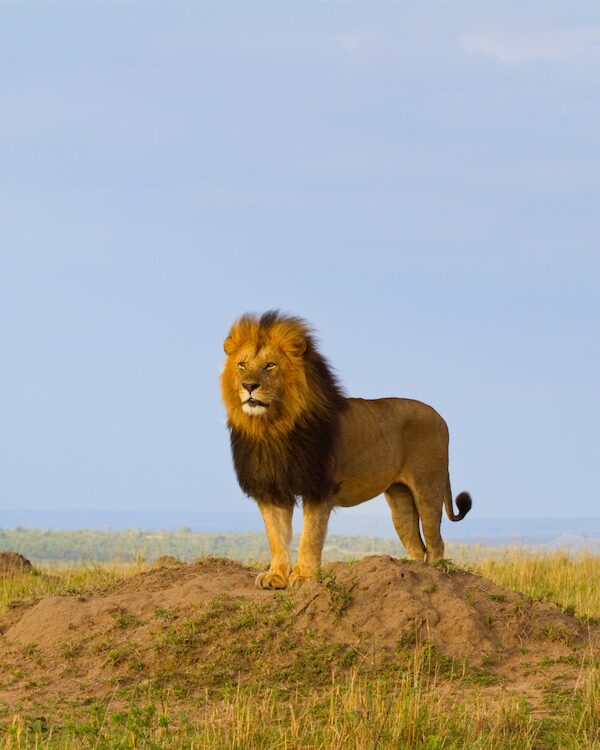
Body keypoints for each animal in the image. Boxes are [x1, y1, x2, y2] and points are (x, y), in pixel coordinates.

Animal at [221, 311, 472, 589]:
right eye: (242, 365)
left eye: (270, 365)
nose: (248, 386)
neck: (272, 429)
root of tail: (439, 415)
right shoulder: (271, 490)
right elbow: (276, 537)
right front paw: (275, 577)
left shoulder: (319, 488)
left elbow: (310, 537)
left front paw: (303, 577)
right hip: (400, 498)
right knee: (416, 545)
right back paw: (410, 576)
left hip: (428, 486)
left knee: (436, 543)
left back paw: (436, 579)